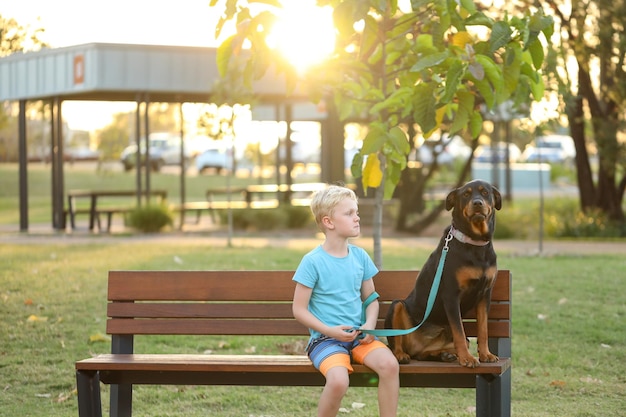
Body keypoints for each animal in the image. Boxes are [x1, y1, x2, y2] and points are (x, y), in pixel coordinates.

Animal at [382, 179, 500, 368]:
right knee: (396, 343)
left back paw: (443, 355)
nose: (477, 203)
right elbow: (459, 331)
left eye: (485, 193)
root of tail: (415, 346)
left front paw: (485, 354)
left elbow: (483, 329)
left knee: (422, 354)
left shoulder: (485, 294)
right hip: (397, 305)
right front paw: (467, 359)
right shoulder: (451, 295)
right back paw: (401, 355)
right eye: (466, 194)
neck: (474, 244)